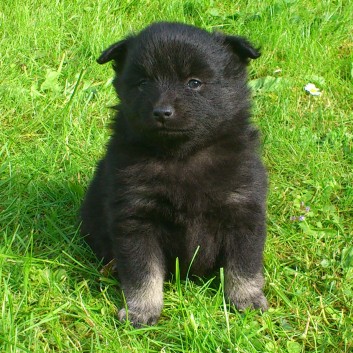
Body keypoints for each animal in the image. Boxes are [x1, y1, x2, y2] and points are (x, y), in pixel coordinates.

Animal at [80, 21, 266, 324]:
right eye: (143, 83)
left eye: (194, 82)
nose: (162, 112)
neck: (182, 155)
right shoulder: (135, 218)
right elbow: (142, 272)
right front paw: (142, 310)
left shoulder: (243, 209)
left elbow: (244, 264)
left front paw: (246, 298)